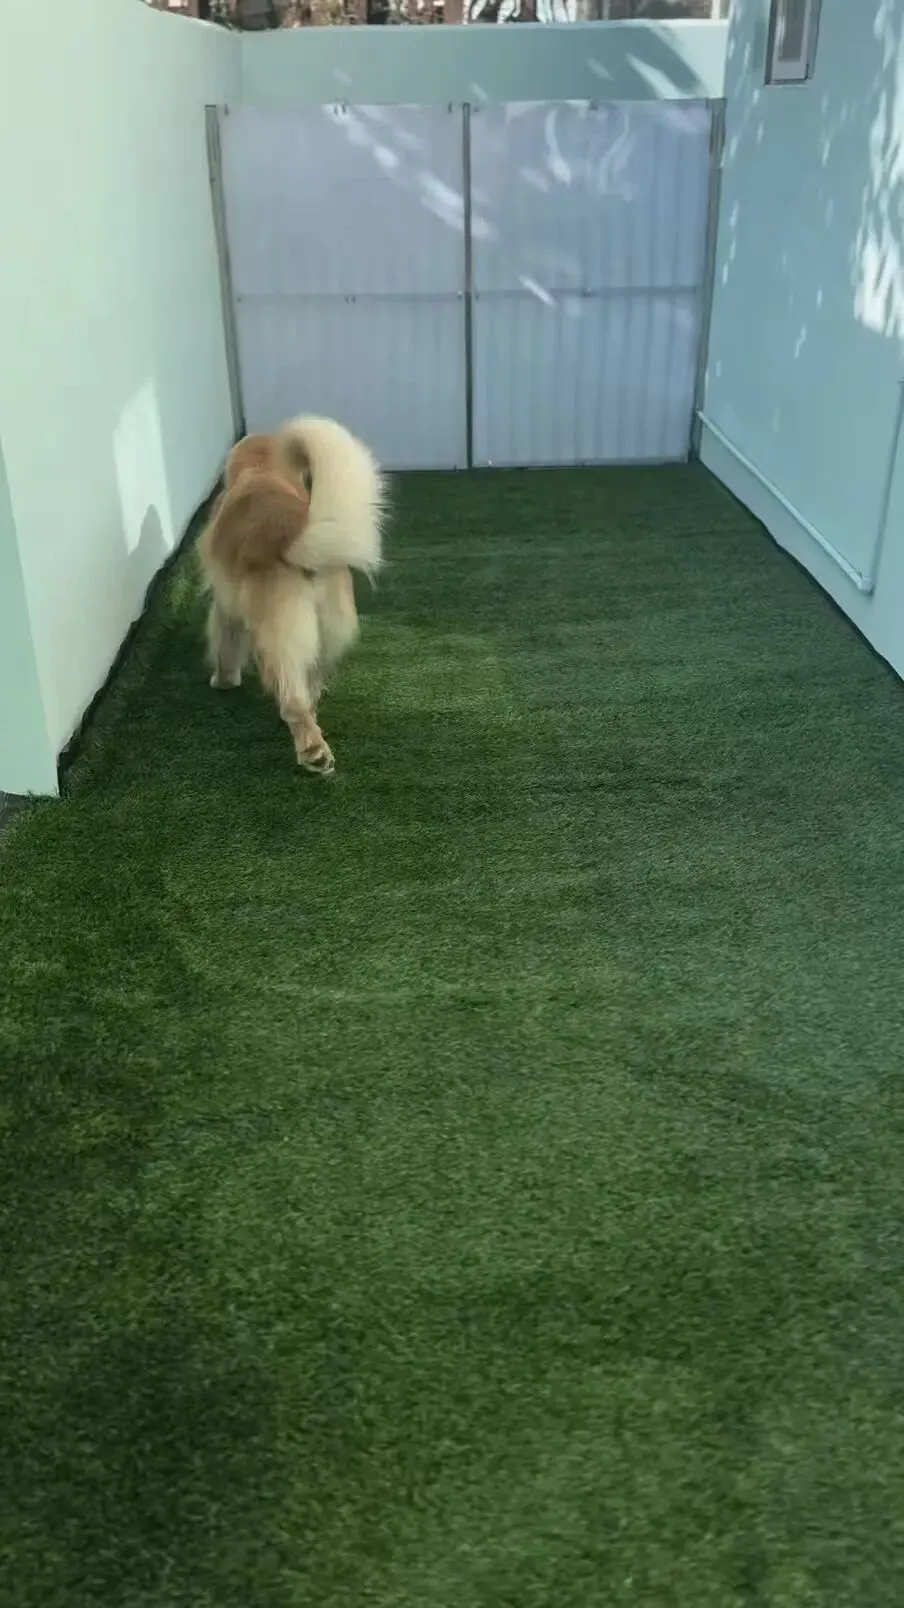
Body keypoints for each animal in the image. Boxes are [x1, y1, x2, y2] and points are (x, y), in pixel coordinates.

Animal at [197, 416, 385, 776]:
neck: (260, 471)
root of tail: (291, 539)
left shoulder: (226, 604)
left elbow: (226, 644)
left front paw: (223, 680)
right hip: (326, 633)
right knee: (310, 687)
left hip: (278, 641)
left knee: (293, 703)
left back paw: (313, 753)